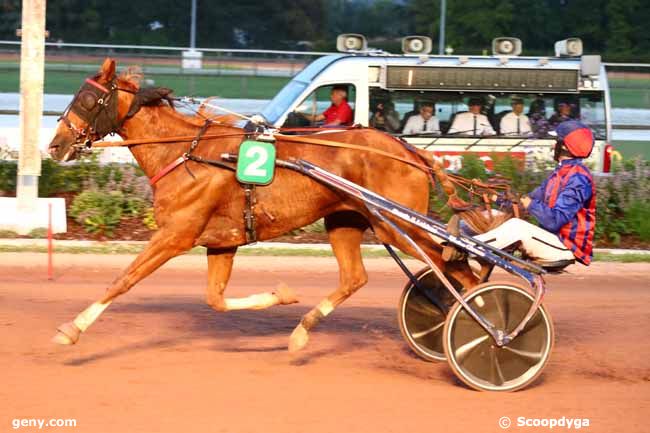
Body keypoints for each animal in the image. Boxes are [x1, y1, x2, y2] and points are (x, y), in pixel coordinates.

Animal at [46, 59, 480, 352]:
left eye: (88, 99)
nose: (55, 145)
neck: (187, 154)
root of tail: (411, 151)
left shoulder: (175, 235)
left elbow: (123, 279)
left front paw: (72, 329)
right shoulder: (221, 242)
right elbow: (215, 300)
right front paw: (281, 295)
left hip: (397, 224)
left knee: (460, 270)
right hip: (346, 220)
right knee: (357, 277)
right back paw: (303, 331)